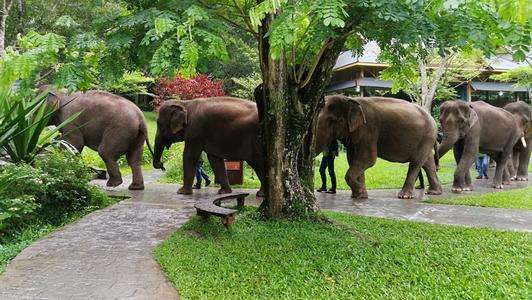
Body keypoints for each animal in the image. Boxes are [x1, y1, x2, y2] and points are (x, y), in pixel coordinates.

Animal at [314, 95, 442, 199]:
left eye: (333, 120)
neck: (350, 99)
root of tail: (432, 119)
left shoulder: (368, 130)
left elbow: (368, 159)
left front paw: (360, 194)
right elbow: (352, 159)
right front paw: (360, 195)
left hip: (426, 137)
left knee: (416, 163)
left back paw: (404, 196)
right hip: (426, 140)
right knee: (427, 162)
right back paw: (434, 192)